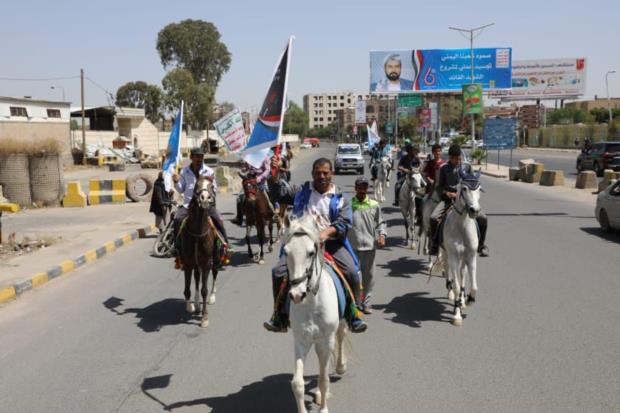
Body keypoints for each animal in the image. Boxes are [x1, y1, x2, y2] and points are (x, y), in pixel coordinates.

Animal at [179, 175, 218, 326]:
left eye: (212, 187)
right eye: (196, 185)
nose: (205, 198)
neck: (197, 233)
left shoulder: (206, 262)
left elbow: (204, 290)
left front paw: (204, 317)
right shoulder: (188, 262)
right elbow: (187, 288)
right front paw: (190, 306)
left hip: (215, 258)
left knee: (215, 272)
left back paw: (212, 297)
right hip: (196, 263)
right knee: (196, 276)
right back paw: (196, 303)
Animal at [284, 216, 348, 412]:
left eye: (311, 252)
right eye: (286, 252)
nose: (297, 295)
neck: (311, 303)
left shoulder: (325, 341)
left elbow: (323, 379)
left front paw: (324, 408)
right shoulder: (301, 341)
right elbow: (297, 383)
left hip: (337, 327)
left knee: (341, 336)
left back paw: (340, 367)